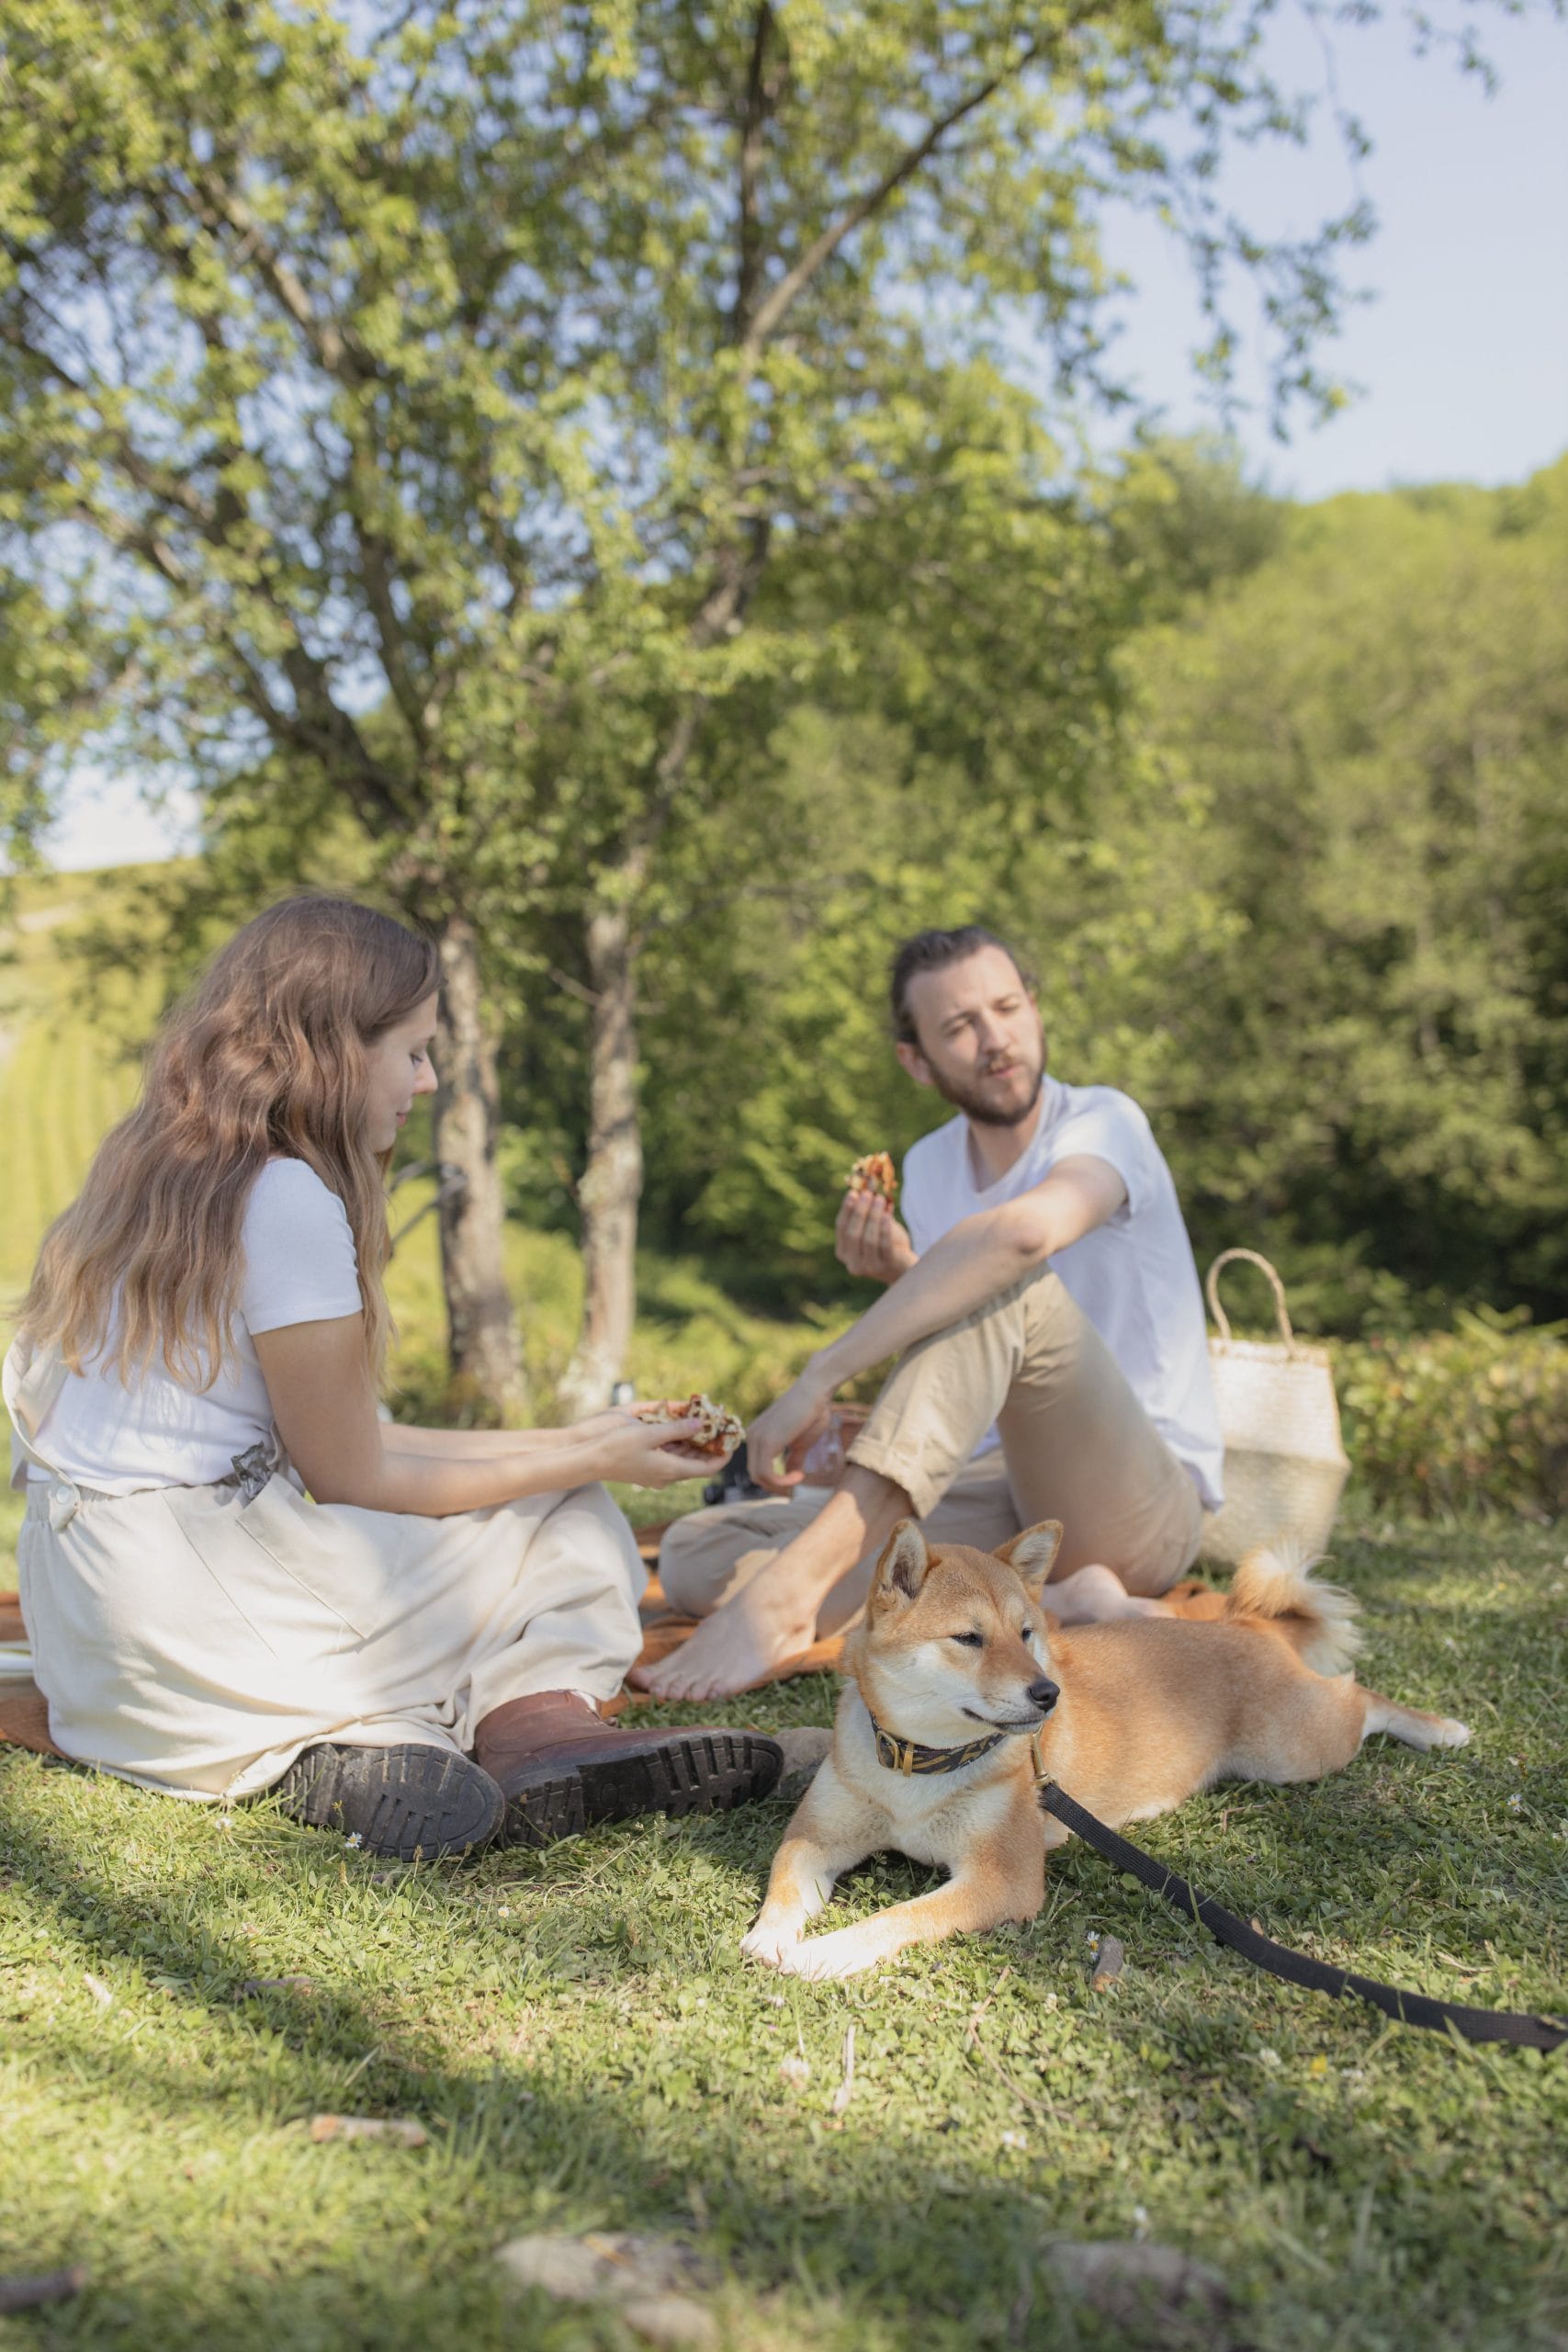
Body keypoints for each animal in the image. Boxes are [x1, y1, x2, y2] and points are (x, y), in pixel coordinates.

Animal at [742, 1514, 1466, 1975]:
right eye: (968, 1638)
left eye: (1026, 1632)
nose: (1047, 1694)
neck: (920, 1768)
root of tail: (1247, 1626)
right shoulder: (817, 1836)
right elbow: (784, 1883)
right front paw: (767, 1938)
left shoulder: (1003, 1879)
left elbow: (900, 1918)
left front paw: (829, 1951)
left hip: (1296, 1752)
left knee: (1358, 1695)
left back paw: (1439, 1728)